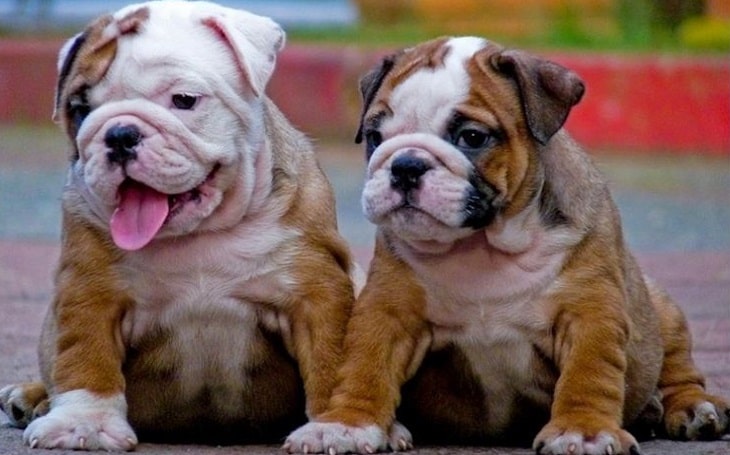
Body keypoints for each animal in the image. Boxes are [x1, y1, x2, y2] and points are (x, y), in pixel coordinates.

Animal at [0, 0, 358, 452]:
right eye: (80, 111)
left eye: (184, 100)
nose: (120, 134)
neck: (198, 236)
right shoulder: (91, 289)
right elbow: (85, 355)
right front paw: (84, 423)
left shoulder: (314, 293)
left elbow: (332, 357)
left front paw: (336, 427)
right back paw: (33, 397)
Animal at [284, 36, 728, 455]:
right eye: (375, 137)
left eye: (472, 137)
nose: (406, 165)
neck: (483, 244)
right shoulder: (388, 311)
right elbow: (365, 366)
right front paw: (345, 423)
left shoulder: (589, 314)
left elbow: (588, 375)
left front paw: (583, 431)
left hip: (660, 309)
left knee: (678, 368)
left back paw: (693, 407)